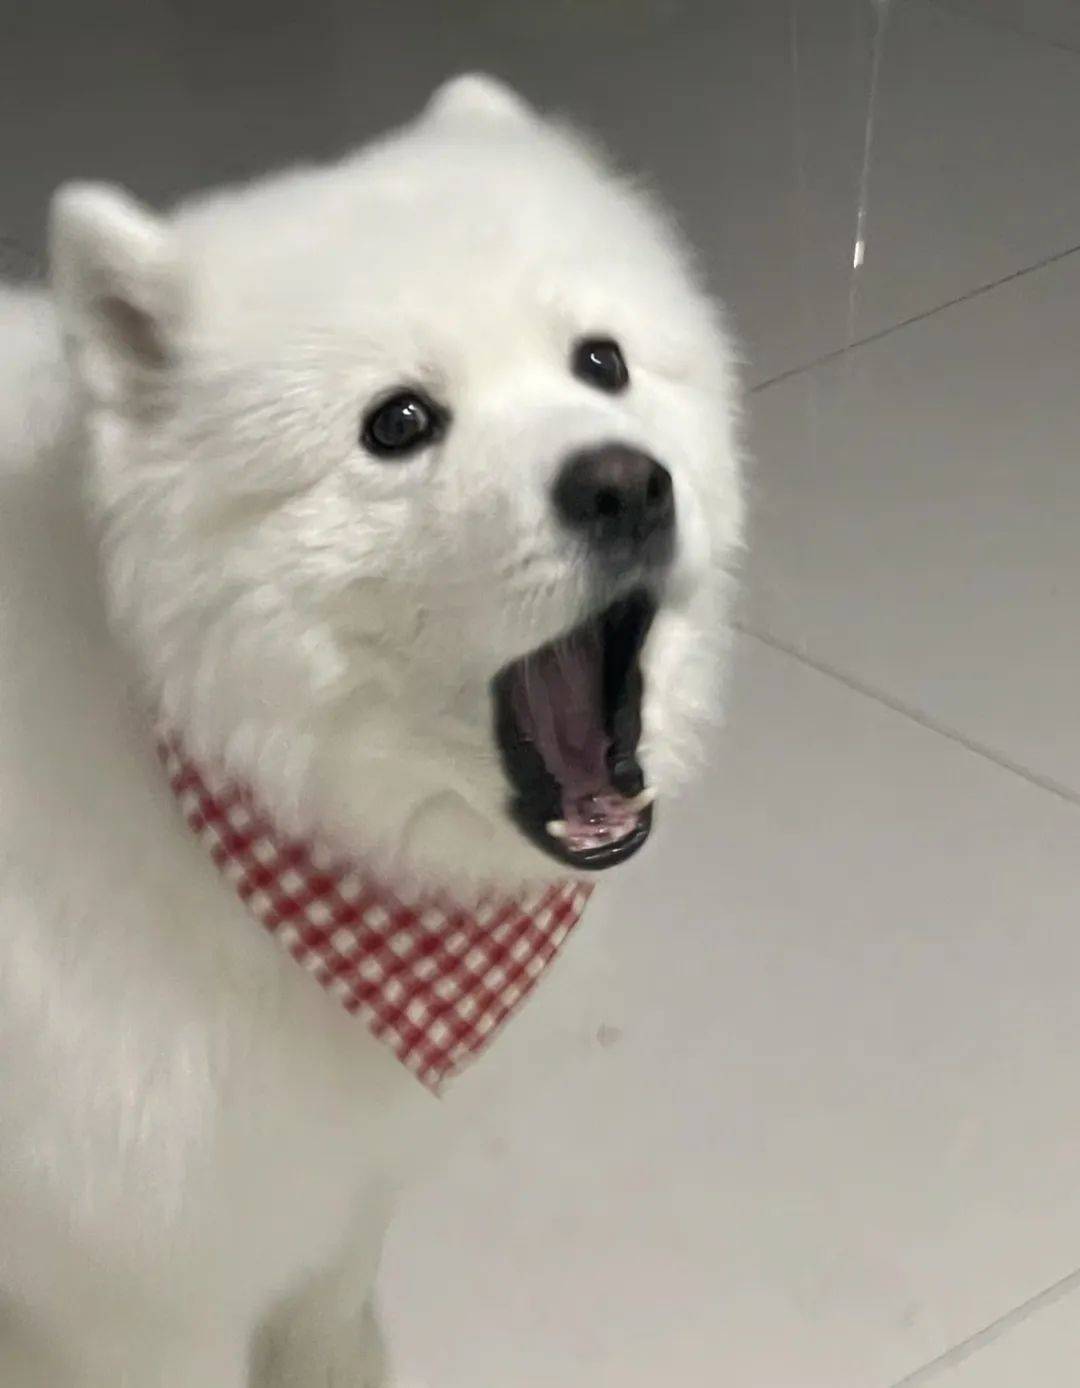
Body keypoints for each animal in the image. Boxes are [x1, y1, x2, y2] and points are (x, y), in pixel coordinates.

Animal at [0, 74, 743, 1385]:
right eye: (399, 422)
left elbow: (331, 1300)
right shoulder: (128, 1294)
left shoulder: (332, 1184)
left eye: (600, 361)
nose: (624, 482)